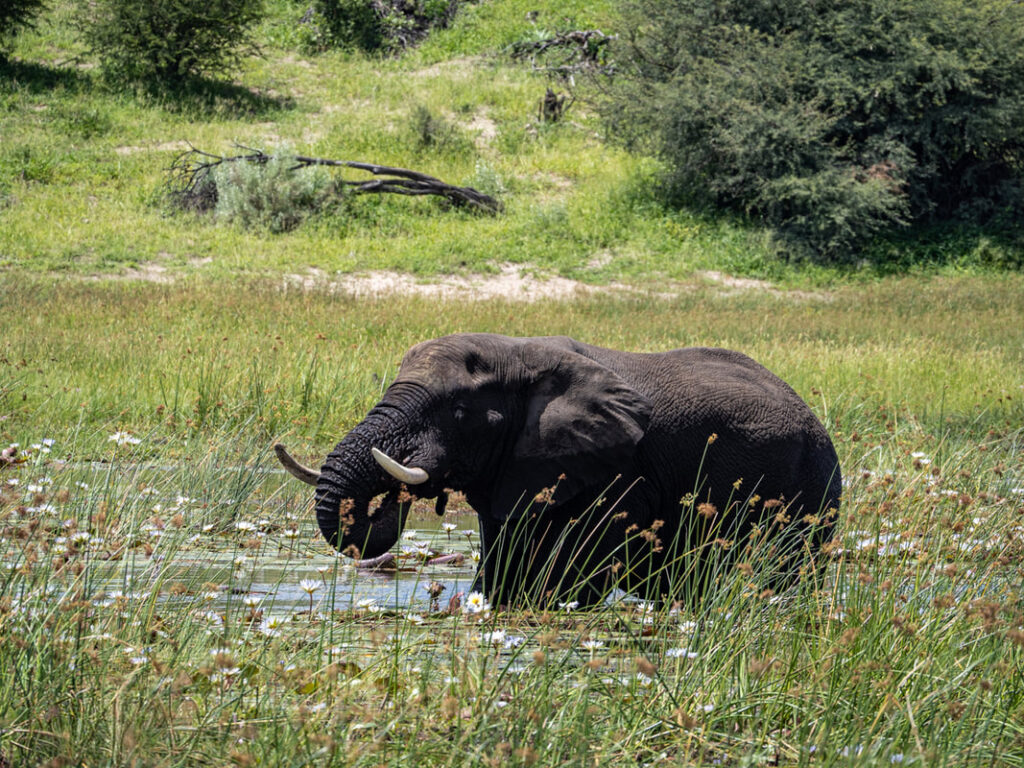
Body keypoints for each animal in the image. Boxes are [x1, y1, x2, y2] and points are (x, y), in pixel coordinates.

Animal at [275, 333, 841, 607]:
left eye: (458, 411)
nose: (398, 489)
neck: (520, 354)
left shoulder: (622, 472)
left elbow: (578, 572)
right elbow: (501, 563)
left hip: (809, 493)